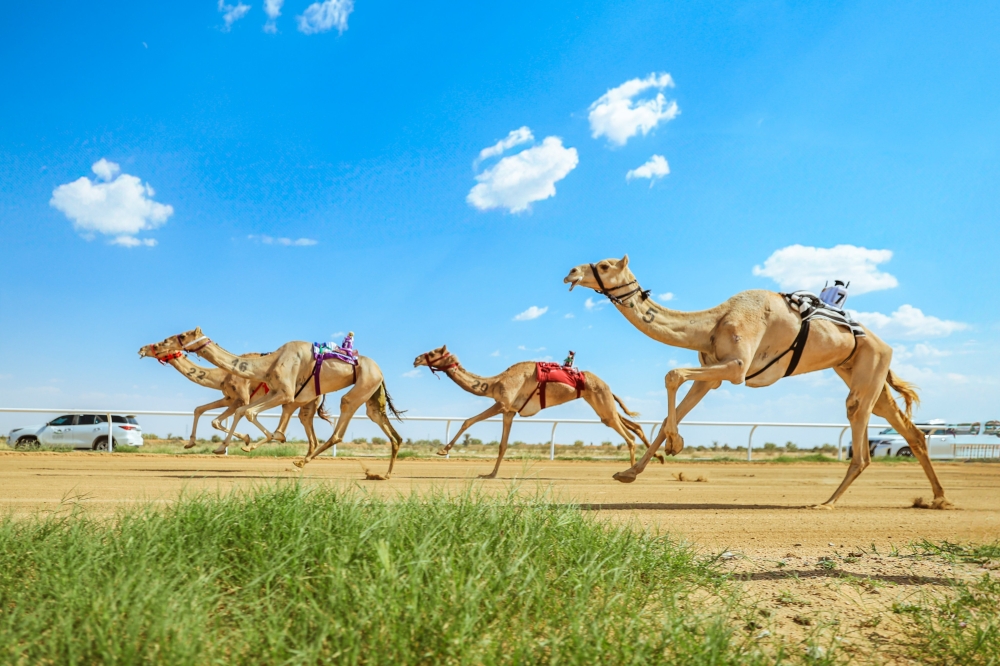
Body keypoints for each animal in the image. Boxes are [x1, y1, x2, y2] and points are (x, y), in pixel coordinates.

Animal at [568, 254, 948, 508]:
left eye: (604, 265)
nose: (571, 271)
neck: (714, 322)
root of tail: (884, 343)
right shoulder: (712, 374)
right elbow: (668, 410)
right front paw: (630, 472)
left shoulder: (736, 367)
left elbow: (672, 374)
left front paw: (676, 444)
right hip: (864, 373)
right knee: (909, 430)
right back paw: (939, 498)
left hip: (869, 369)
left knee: (861, 430)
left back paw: (826, 503)